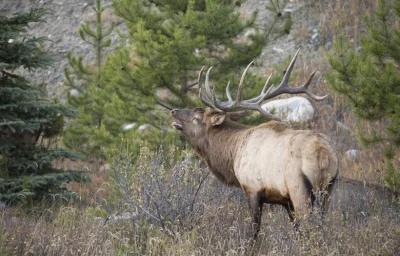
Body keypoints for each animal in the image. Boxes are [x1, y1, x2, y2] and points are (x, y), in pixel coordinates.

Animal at [170, 50, 340, 238]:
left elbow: (254, 231)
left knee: (310, 226)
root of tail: (323, 155)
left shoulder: (252, 189)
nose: (173, 111)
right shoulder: (285, 201)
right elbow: (294, 229)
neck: (233, 154)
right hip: (328, 189)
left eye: (196, 117)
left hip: (300, 188)